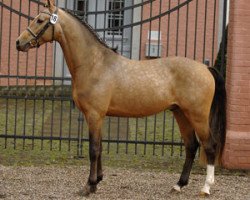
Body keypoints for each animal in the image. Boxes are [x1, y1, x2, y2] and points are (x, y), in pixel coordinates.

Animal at [15, 0, 227, 197]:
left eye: (40, 20)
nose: (19, 42)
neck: (94, 63)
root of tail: (204, 67)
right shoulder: (98, 117)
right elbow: (100, 147)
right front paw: (98, 181)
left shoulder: (94, 115)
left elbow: (93, 149)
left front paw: (89, 186)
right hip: (180, 113)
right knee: (191, 146)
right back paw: (178, 185)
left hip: (197, 116)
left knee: (209, 146)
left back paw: (206, 187)